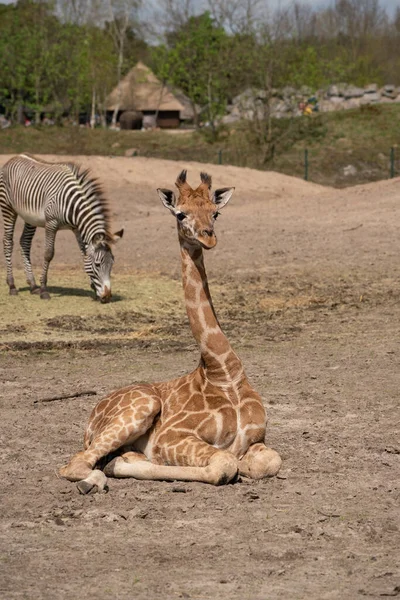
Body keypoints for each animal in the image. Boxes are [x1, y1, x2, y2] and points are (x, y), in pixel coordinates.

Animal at [0, 154, 123, 302]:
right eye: (98, 264)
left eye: (112, 263)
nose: (107, 296)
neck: (73, 206)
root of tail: (15, 157)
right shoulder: (51, 224)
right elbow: (48, 254)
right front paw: (44, 289)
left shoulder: (77, 229)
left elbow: (84, 254)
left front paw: (93, 287)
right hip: (7, 207)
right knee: (8, 242)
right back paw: (12, 285)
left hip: (30, 217)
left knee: (25, 242)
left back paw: (33, 285)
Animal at [60, 171, 282, 494]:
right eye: (180, 213)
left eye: (215, 212)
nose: (208, 236)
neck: (223, 371)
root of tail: (92, 415)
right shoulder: (171, 437)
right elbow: (225, 463)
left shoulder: (256, 439)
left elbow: (271, 462)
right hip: (142, 407)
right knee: (75, 463)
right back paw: (92, 481)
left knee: (110, 460)